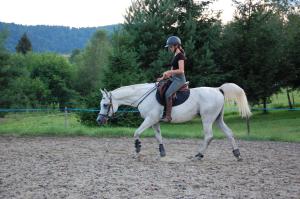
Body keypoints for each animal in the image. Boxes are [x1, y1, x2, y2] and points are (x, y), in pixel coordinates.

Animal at [96, 82, 251, 160]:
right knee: (229, 133)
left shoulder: (150, 119)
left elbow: (136, 133)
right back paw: (237, 154)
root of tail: (218, 90)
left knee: (209, 136)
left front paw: (137, 150)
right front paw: (162, 153)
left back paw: (199, 155)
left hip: (207, 118)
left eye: (105, 105)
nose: (99, 120)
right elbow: (158, 136)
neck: (143, 96)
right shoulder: (154, 121)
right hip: (218, 119)